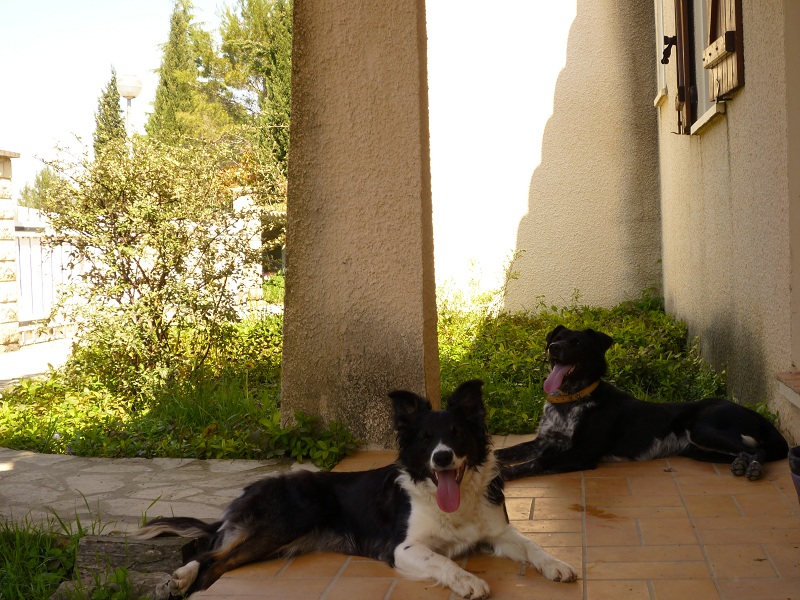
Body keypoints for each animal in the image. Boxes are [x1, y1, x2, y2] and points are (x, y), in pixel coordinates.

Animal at [138, 382, 576, 596]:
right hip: (285, 522)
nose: (441, 458)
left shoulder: (498, 534)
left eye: (456, 434)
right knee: (212, 560)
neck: (452, 503)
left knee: (214, 553)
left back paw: (180, 579)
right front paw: (467, 581)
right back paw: (184, 583)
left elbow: (533, 546)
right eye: (424, 440)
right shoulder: (403, 549)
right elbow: (443, 561)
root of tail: (250, 489)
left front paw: (557, 563)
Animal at [496, 326, 792, 480]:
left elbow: (536, 463)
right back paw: (740, 464)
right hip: (696, 449)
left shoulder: (582, 453)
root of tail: (752, 412)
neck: (571, 398)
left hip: (703, 429)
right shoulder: (543, 441)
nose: (553, 347)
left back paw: (752, 466)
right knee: (744, 451)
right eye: (556, 338)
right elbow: (505, 452)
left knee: (758, 451)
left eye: (577, 342)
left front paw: (502, 475)